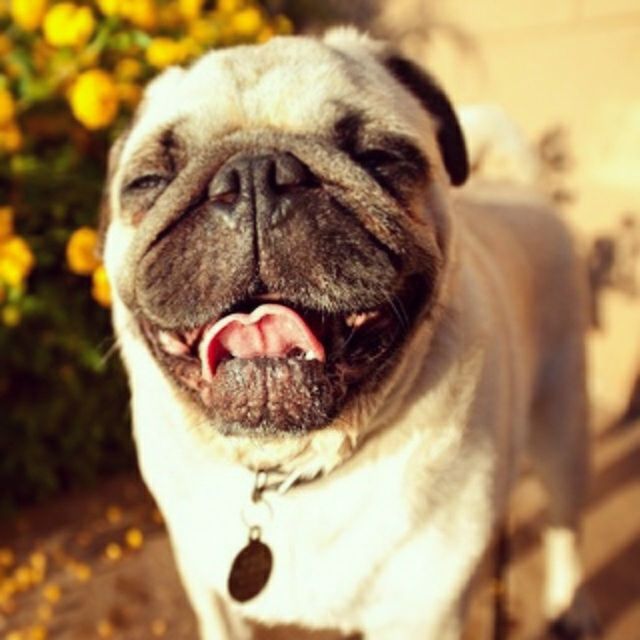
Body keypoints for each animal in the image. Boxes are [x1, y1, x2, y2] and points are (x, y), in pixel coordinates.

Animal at [100, 27, 596, 636]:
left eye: (380, 157)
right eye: (148, 181)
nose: (255, 175)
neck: (291, 467)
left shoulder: (424, 612)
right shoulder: (210, 591)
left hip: (563, 423)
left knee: (565, 524)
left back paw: (571, 605)